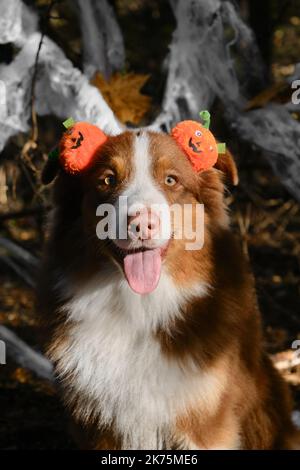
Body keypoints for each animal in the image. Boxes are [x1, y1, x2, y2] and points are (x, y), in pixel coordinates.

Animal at [38, 126, 298, 450]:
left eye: (171, 180)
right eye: (108, 179)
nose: (141, 224)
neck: (138, 307)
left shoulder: (206, 425)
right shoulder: (98, 425)